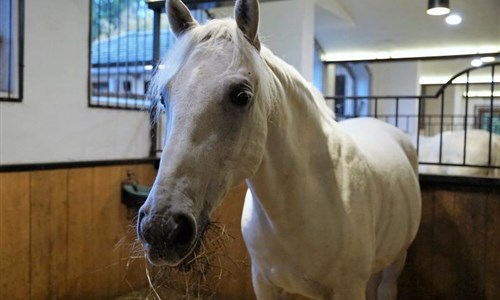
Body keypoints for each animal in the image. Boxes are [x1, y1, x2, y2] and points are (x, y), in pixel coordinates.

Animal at [137, 1, 422, 298]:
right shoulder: (264, 282)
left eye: (242, 96)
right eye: (163, 98)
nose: (159, 228)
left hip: (396, 261)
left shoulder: (349, 288)